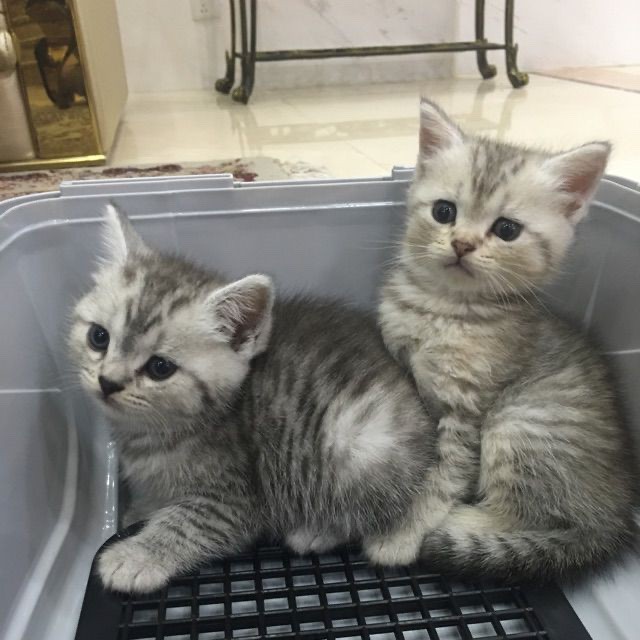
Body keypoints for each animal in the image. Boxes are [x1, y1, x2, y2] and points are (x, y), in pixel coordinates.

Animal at [69, 204, 437, 593]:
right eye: (98, 337)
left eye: (159, 368)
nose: (108, 382)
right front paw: (140, 510)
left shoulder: (237, 500)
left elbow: (187, 522)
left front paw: (135, 556)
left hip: (358, 448)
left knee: (365, 512)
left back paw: (314, 532)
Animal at [372, 98, 638, 581]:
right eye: (444, 212)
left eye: (507, 230)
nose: (462, 243)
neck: (445, 308)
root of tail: (616, 521)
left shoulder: (467, 411)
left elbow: (444, 473)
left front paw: (401, 534)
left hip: (519, 422)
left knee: (524, 516)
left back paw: (461, 523)